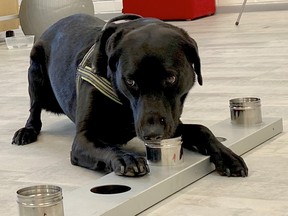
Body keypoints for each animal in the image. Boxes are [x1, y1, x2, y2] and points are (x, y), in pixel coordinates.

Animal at [12, 13, 248, 177]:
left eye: (171, 78)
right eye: (131, 81)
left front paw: (227, 156)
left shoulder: (171, 123)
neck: (123, 104)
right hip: (35, 74)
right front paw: (126, 158)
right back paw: (27, 131)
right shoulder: (83, 139)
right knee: (34, 109)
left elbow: (202, 129)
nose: (152, 134)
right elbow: (105, 145)